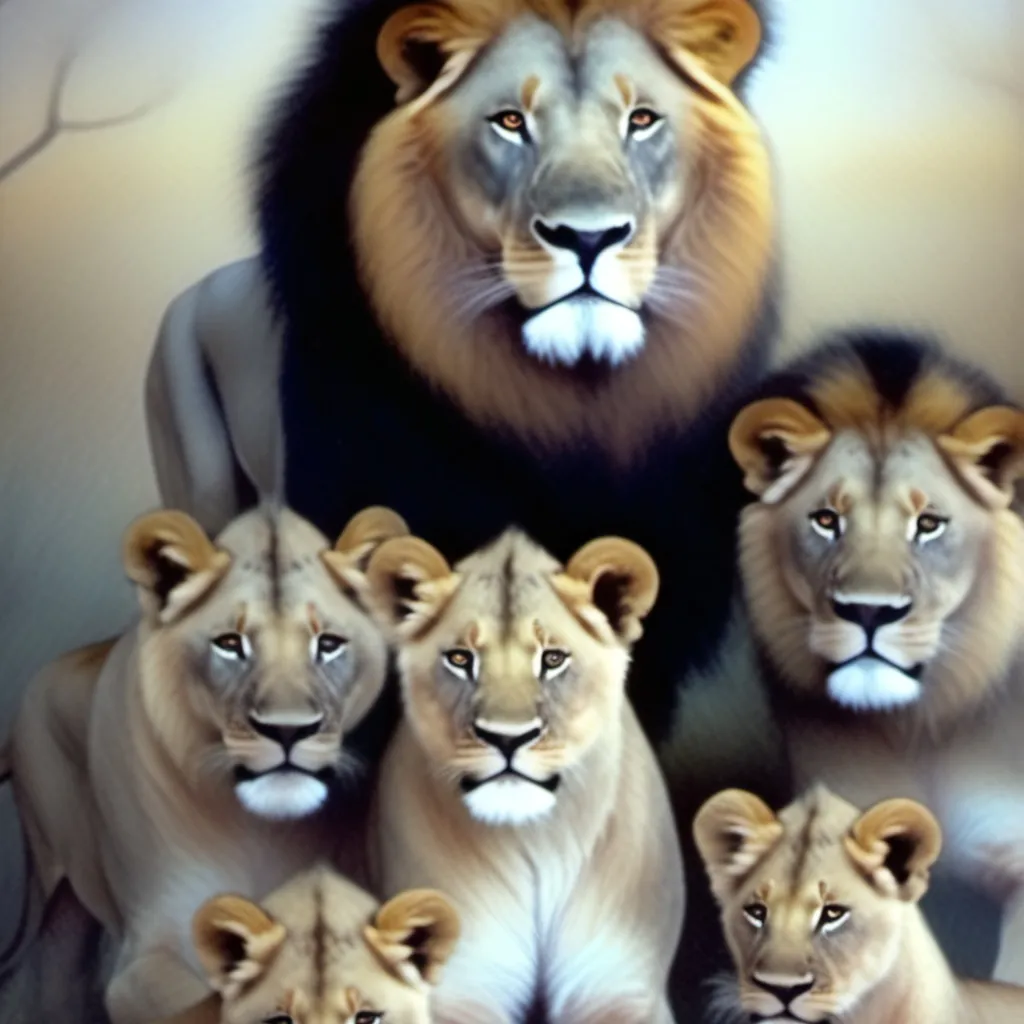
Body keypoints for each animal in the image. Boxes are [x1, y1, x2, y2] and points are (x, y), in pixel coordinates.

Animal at [363, 527, 684, 1023]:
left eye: (552, 660)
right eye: (460, 659)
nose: (507, 738)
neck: (538, 841)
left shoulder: (619, 986)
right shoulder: (461, 988)